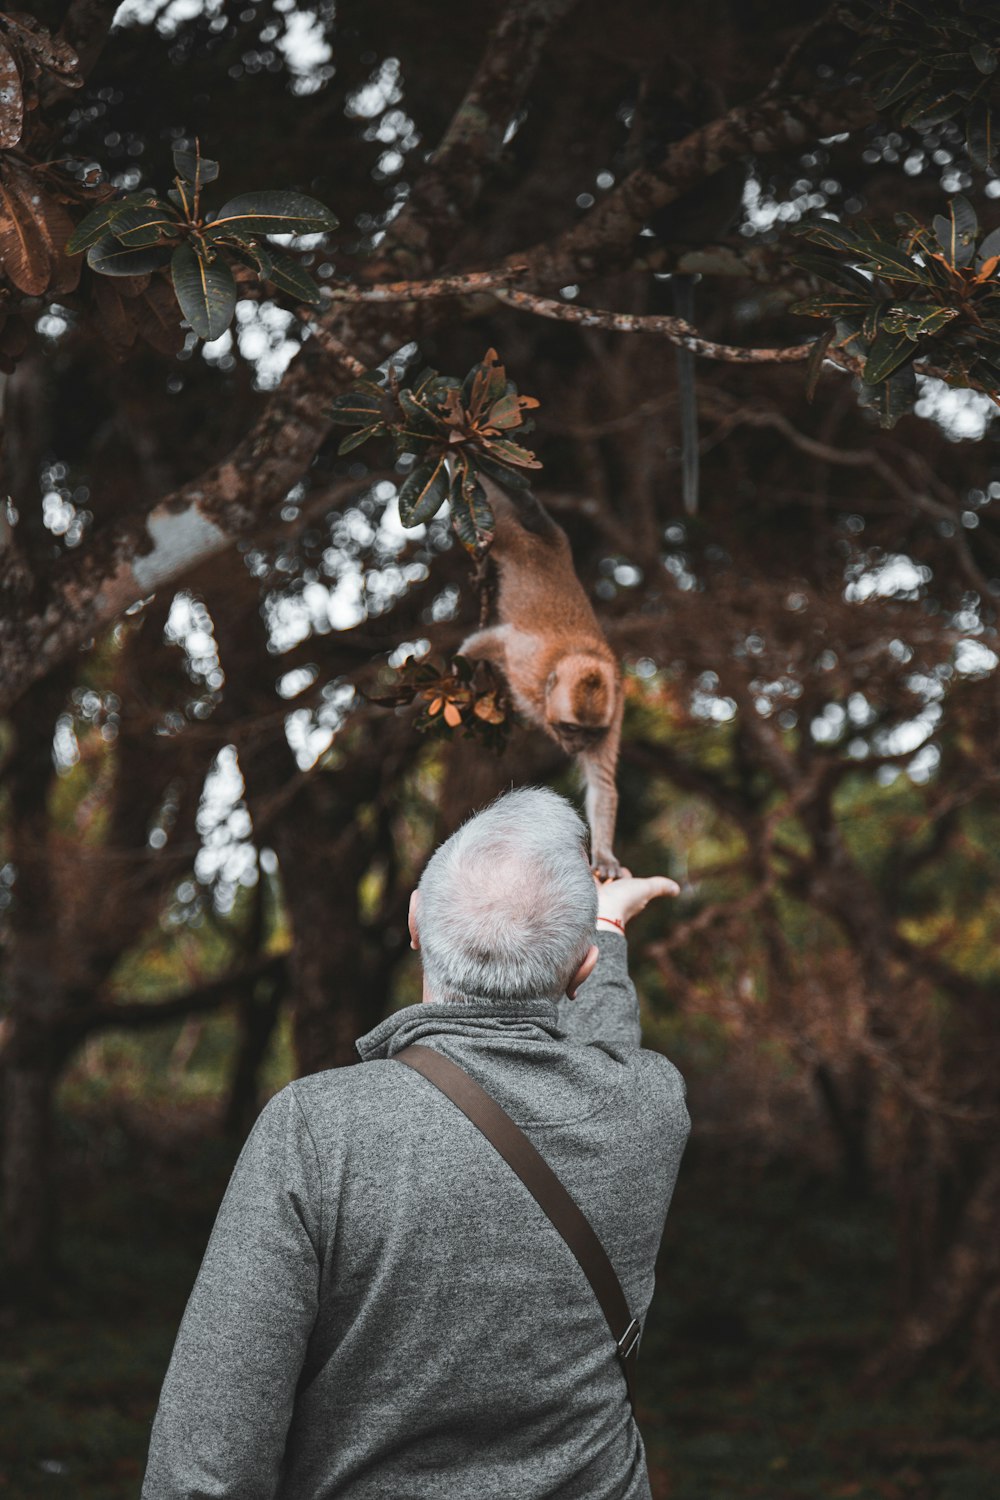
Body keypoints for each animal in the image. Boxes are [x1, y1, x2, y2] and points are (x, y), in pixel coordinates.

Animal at [458, 480, 620, 876]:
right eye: (570, 729)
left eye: (589, 734)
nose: (576, 746)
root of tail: (548, 546)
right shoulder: (524, 663)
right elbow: (493, 640)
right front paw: (456, 671)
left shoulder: (615, 707)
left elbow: (602, 783)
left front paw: (604, 854)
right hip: (503, 537)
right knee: (493, 518)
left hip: (555, 539)